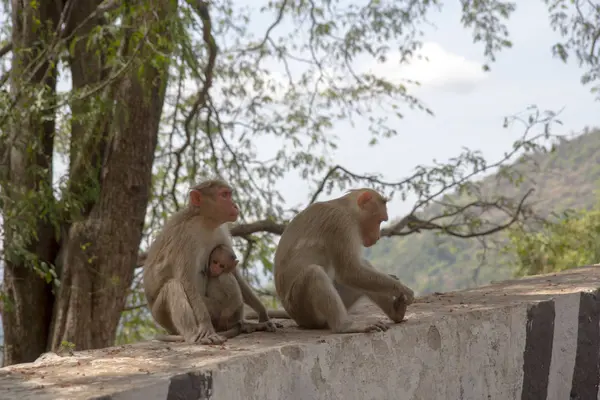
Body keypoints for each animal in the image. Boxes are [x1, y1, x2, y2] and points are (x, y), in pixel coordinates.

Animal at [143, 180, 278, 346]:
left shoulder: (221, 229)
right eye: (224, 195)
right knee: (173, 286)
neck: (206, 222)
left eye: (229, 194)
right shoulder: (186, 236)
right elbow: (187, 281)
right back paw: (192, 334)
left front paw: (263, 315)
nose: (235, 205)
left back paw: (243, 324)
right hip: (161, 316)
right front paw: (206, 326)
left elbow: (233, 271)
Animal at [274, 189, 414, 332]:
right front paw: (404, 290)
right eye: (379, 220)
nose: (378, 236)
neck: (348, 209)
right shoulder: (341, 223)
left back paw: (396, 313)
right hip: (302, 309)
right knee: (314, 274)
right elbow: (349, 272)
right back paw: (344, 326)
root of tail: (295, 317)